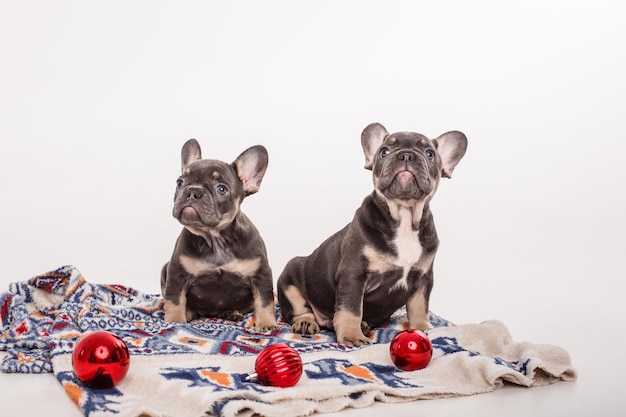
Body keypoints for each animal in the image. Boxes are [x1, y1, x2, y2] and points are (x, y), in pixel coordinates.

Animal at [162, 140, 276, 332]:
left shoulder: (261, 275)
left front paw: (267, 324)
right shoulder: (177, 273)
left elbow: (265, 301)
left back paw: (231, 312)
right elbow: (175, 300)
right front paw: (175, 321)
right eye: (179, 182)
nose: (192, 191)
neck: (215, 240)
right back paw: (189, 312)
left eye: (221, 189)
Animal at [276, 122, 466, 344]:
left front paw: (423, 329)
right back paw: (307, 322)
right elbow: (351, 309)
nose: (407, 155)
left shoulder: (423, 279)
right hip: (290, 278)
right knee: (300, 309)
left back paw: (364, 325)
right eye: (384, 151)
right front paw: (352, 335)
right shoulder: (354, 275)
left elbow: (420, 307)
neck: (404, 219)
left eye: (429, 154)